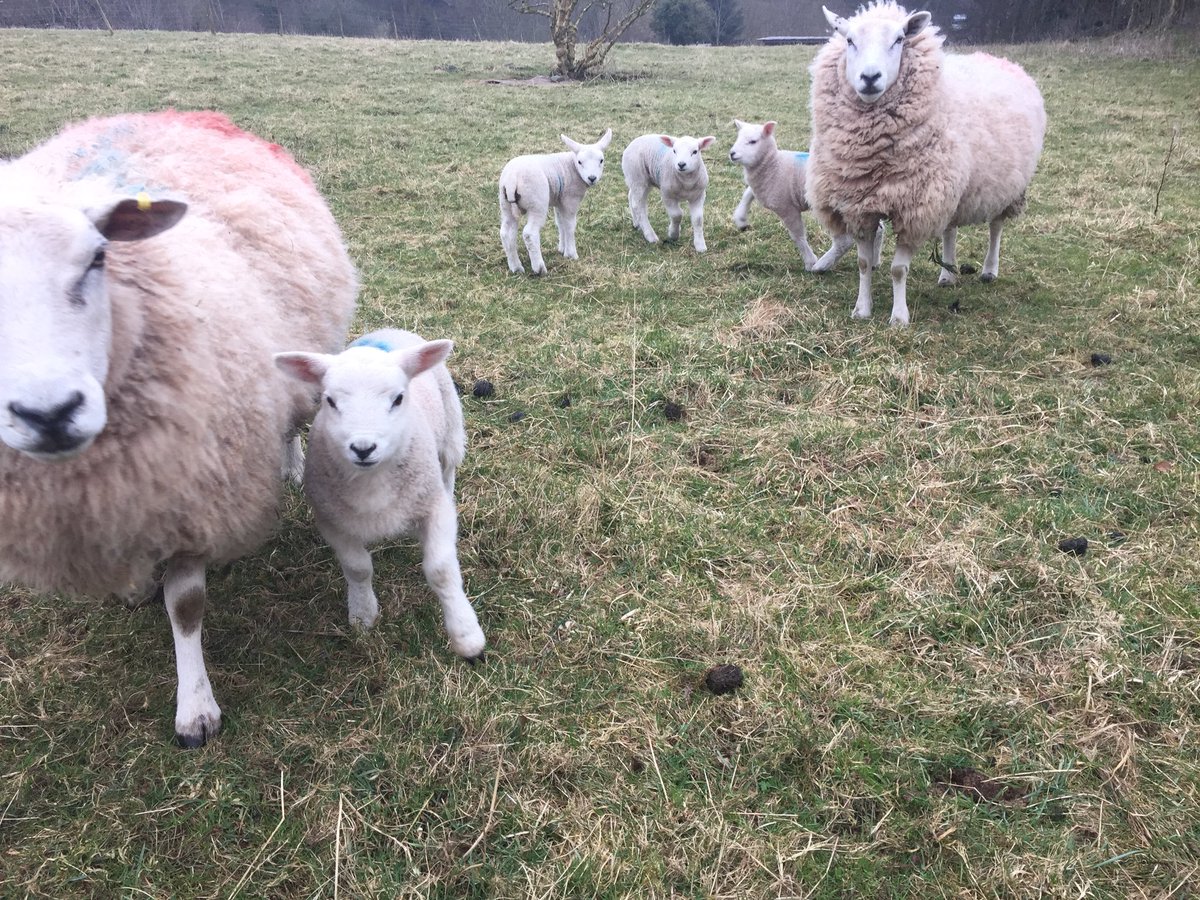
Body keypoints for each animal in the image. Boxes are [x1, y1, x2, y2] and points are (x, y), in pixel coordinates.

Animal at [0, 111, 358, 747]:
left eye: (98, 257)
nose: (50, 413)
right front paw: (137, 589)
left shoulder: (195, 489)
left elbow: (186, 605)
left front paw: (196, 709)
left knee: (291, 417)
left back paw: (290, 462)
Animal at [274, 329, 485, 661]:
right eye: (330, 400)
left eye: (398, 399)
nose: (363, 448)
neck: (372, 479)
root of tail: (388, 331)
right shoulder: (331, 519)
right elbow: (358, 568)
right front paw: (362, 615)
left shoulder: (432, 506)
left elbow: (440, 570)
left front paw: (466, 634)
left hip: (450, 429)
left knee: (449, 467)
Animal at [499, 128, 613, 275]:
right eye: (580, 162)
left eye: (601, 160)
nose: (592, 178)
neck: (571, 166)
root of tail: (512, 180)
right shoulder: (570, 199)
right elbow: (569, 225)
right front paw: (571, 254)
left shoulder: (560, 201)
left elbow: (560, 223)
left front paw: (562, 249)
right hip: (537, 203)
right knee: (529, 233)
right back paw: (539, 268)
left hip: (505, 205)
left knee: (506, 233)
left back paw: (516, 267)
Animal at [728, 119, 879, 272]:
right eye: (737, 138)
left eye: (752, 141)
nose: (732, 153)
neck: (773, 164)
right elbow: (747, 193)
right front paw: (741, 219)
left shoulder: (787, 208)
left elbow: (798, 236)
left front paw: (810, 261)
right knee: (876, 231)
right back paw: (873, 262)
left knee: (844, 241)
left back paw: (821, 266)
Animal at [807, 2, 1046, 325]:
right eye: (849, 41)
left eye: (899, 40)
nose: (870, 77)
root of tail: (999, 59)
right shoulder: (861, 207)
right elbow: (863, 263)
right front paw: (862, 310)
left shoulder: (915, 209)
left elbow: (898, 270)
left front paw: (899, 317)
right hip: (950, 188)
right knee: (950, 229)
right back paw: (947, 275)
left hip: (1007, 185)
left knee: (996, 227)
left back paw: (989, 270)